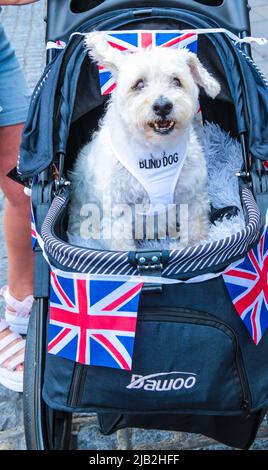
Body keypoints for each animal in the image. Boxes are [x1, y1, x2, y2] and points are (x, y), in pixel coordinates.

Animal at [68, 33, 221, 252]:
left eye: (176, 81)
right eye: (139, 84)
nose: (163, 106)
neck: (155, 151)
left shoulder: (192, 196)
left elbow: (193, 231)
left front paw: (192, 248)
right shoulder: (118, 210)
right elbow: (122, 246)